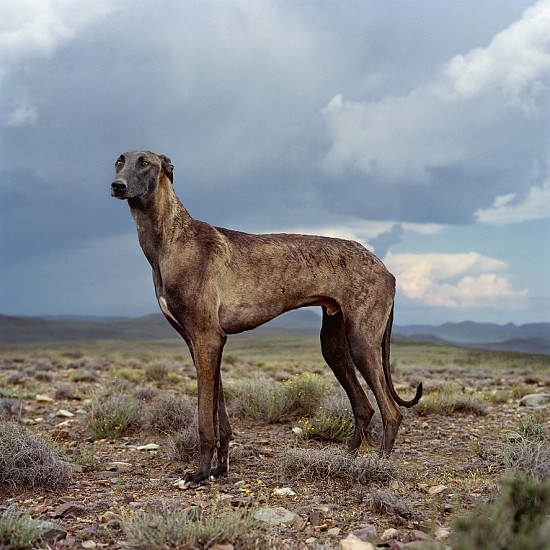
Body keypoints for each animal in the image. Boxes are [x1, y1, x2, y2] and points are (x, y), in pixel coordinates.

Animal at [111, 150, 422, 488]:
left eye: (145, 162)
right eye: (119, 161)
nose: (117, 186)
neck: (172, 238)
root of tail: (386, 270)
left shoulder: (208, 338)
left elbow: (206, 420)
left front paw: (200, 473)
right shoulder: (199, 343)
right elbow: (220, 416)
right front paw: (220, 468)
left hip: (362, 342)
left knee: (391, 412)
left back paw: (378, 466)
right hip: (335, 344)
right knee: (364, 407)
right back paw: (346, 460)